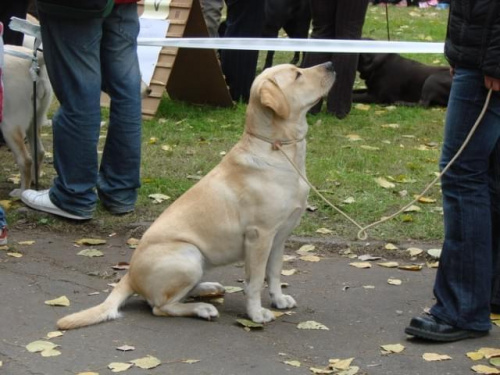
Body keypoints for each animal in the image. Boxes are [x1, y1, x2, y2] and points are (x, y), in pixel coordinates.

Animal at [56, 61, 336, 328]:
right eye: (297, 74)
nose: (331, 64)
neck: (278, 148)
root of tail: (129, 276)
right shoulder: (260, 236)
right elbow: (255, 281)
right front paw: (256, 314)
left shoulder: (279, 238)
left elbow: (275, 273)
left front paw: (278, 300)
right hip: (189, 255)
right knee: (160, 306)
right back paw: (202, 308)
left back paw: (208, 288)